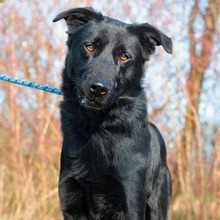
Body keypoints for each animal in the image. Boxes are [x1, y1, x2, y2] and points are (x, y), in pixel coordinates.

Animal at [53, 7, 172, 220]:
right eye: (90, 47)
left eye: (124, 57)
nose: (98, 88)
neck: (98, 126)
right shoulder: (71, 204)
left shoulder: (130, 204)